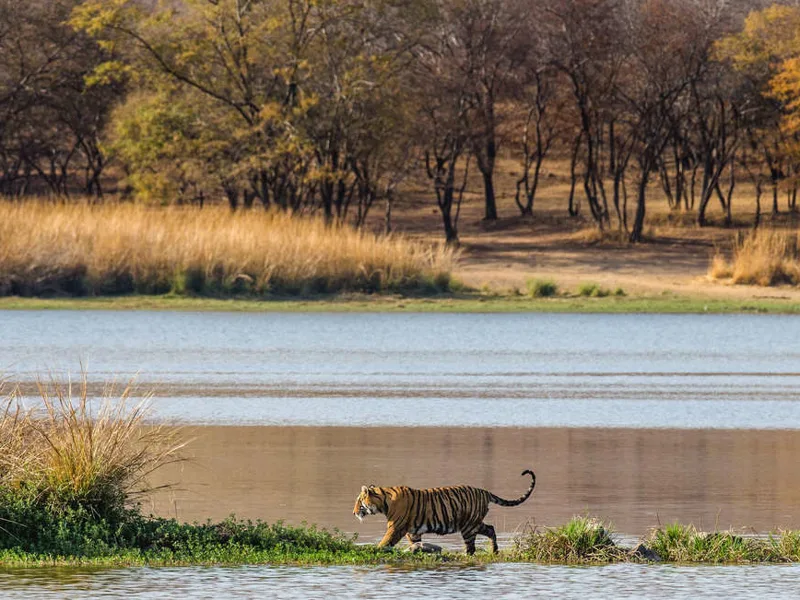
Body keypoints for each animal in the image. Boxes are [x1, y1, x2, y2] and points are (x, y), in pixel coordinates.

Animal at [352, 469, 536, 555]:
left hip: (468, 526)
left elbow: (384, 542)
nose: (353, 513)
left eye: (358, 502)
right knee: (490, 529)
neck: (384, 501)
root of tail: (484, 491)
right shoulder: (412, 531)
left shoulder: (395, 528)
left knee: (471, 547)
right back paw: (495, 551)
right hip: (475, 523)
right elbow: (415, 543)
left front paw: (375, 550)